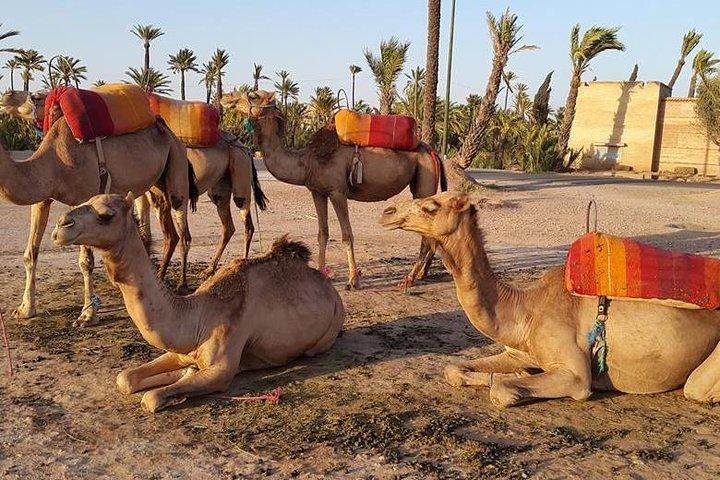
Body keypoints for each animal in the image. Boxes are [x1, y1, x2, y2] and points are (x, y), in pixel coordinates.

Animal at [0, 115, 196, 327]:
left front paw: (87, 315)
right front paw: (25, 309)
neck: (54, 162)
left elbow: (86, 262)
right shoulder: (42, 198)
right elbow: (30, 254)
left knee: (182, 224)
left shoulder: (85, 196)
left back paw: (181, 285)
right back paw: (158, 277)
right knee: (168, 230)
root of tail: (169, 132)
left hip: (176, 159)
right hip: (155, 183)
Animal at [52, 193, 345, 412]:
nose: (60, 225)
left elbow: (151, 397)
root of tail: (330, 286)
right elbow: (125, 378)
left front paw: (169, 394)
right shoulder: (183, 351)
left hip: (326, 335)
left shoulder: (222, 368)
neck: (198, 314)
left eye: (106, 215)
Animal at [221, 90, 447, 290]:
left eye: (253, 95)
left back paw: (409, 279)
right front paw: (321, 273)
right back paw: (420, 274)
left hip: (424, 179)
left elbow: (346, 235)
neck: (307, 162)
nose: (225, 97)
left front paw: (353, 281)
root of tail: (432, 151)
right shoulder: (317, 191)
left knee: (427, 233)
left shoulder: (337, 192)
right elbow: (323, 233)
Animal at [380, 192, 720, 406]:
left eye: (431, 206)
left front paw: (514, 381)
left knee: (696, 389)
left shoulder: (576, 375)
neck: (526, 310)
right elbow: (454, 370)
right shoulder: (519, 351)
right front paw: (518, 373)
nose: (387, 212)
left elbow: (502, 390)